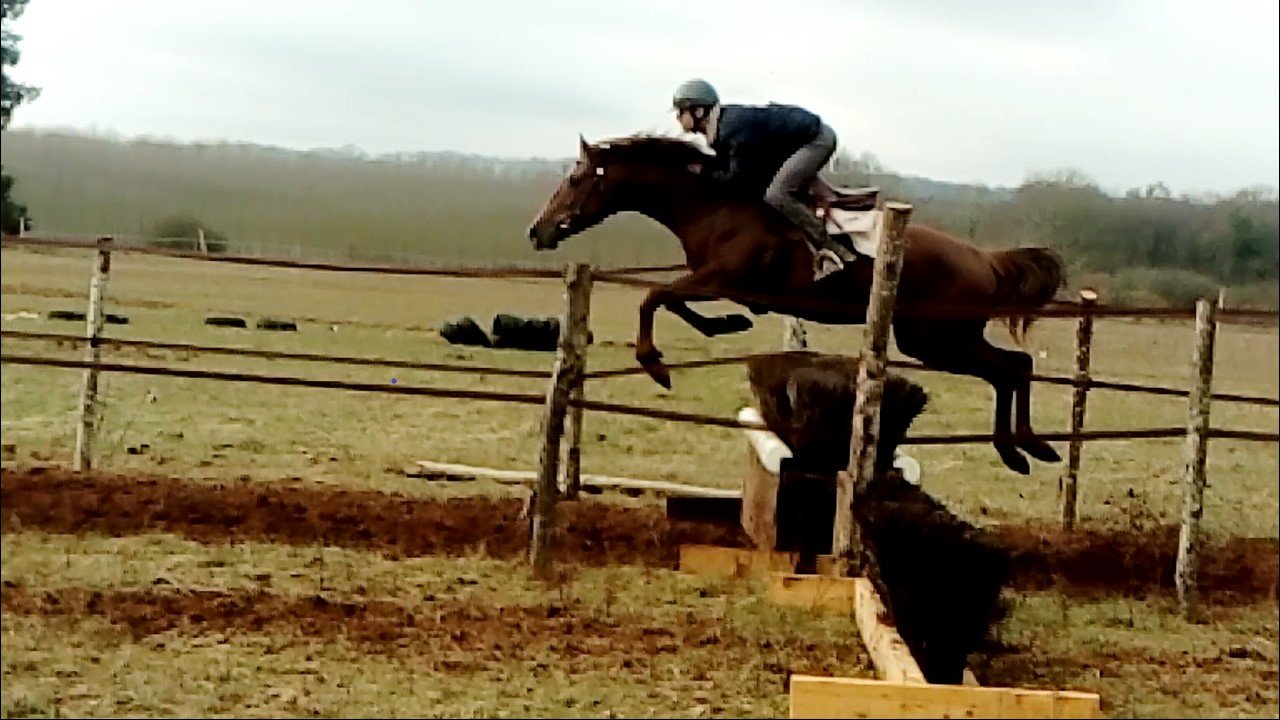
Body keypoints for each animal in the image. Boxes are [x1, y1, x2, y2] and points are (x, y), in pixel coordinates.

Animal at [526, 134, 1067, 475]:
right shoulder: (722, 284)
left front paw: (656, 364)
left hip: (936, 339)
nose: (538, 230)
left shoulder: (723, 278)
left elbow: (655, 297)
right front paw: (727, 326)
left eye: (575, 179)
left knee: (1011, 367)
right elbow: (674, 304)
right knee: (1012, 367)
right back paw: (1023, 451)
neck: (714, 205)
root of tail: (985, 259)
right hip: (939, 340)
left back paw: (1025, 447)